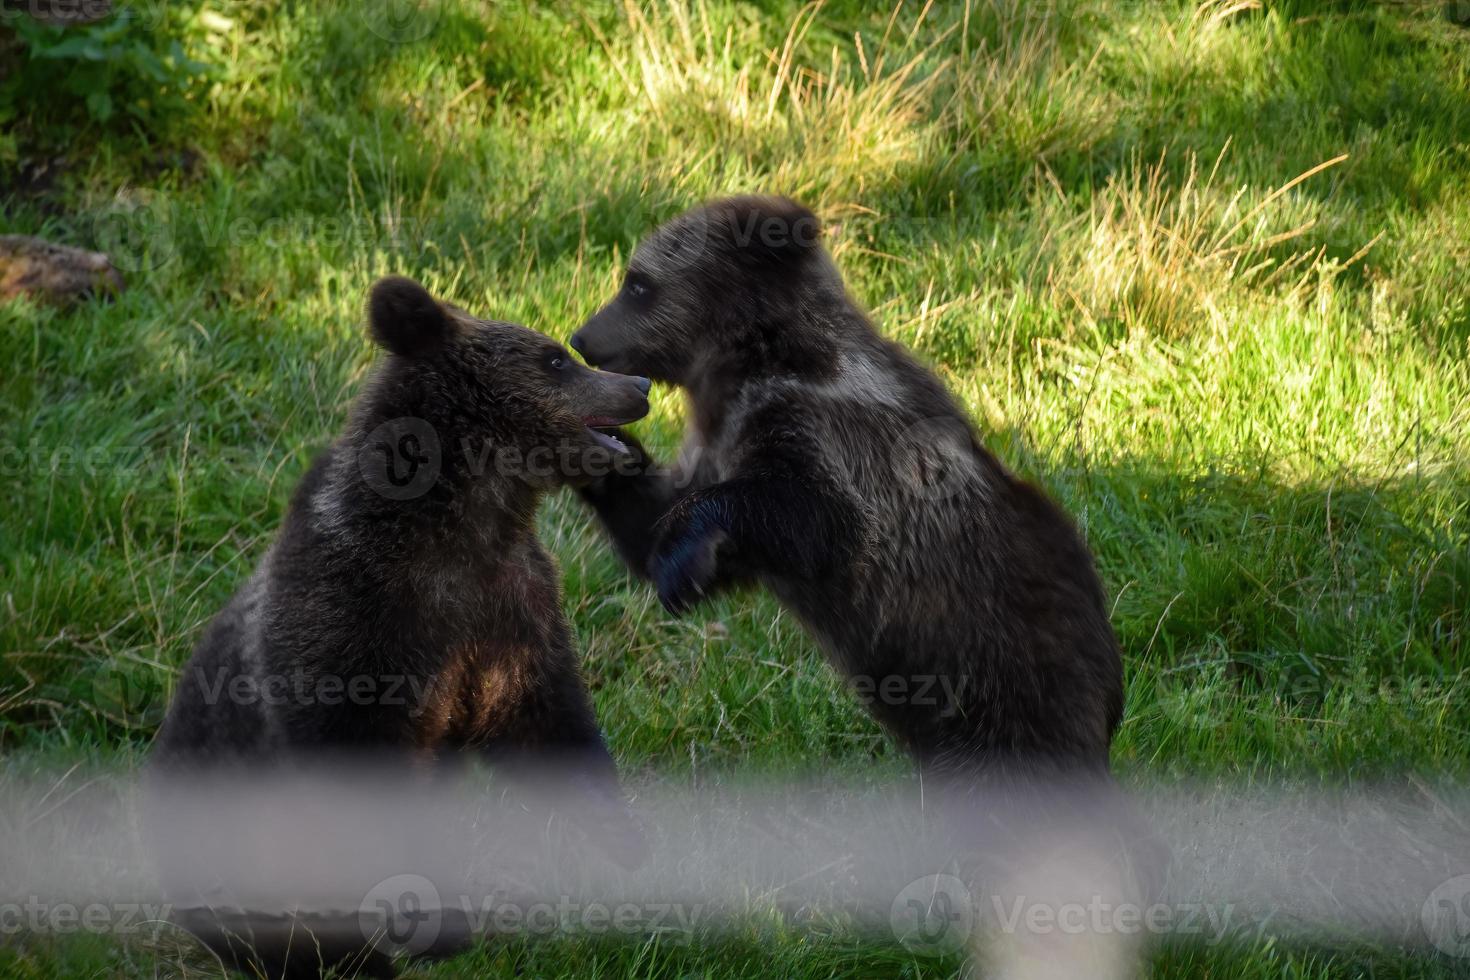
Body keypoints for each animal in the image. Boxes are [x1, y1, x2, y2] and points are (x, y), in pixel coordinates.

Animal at [152, 276, 652, 980]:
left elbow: (542, 717)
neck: (460, 525)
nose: (638, 383)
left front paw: (624, 835)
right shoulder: (353, 628)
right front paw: (431, 927)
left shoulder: (507, 607)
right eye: (554, 358)